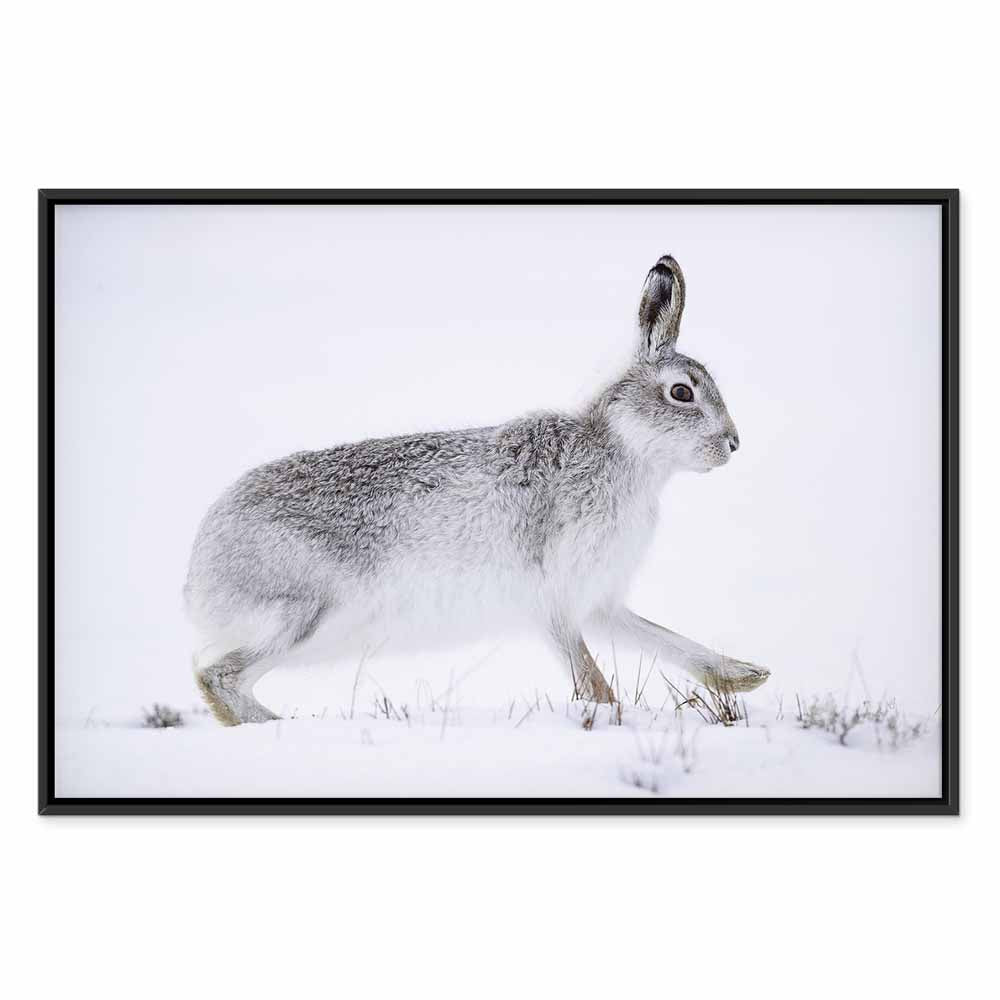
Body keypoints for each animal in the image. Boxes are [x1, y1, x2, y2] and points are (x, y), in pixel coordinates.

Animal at [184, 254, 770, 725]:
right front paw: (610, 715)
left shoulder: (598, 599)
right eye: (681, 393)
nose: (733, 443)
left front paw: (745, 676)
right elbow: (589, 677)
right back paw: (280, 727)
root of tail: (198, 574)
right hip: (307, 613)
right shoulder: (554, 596)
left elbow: (662, 638)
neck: (622, 450)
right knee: (218, 678)